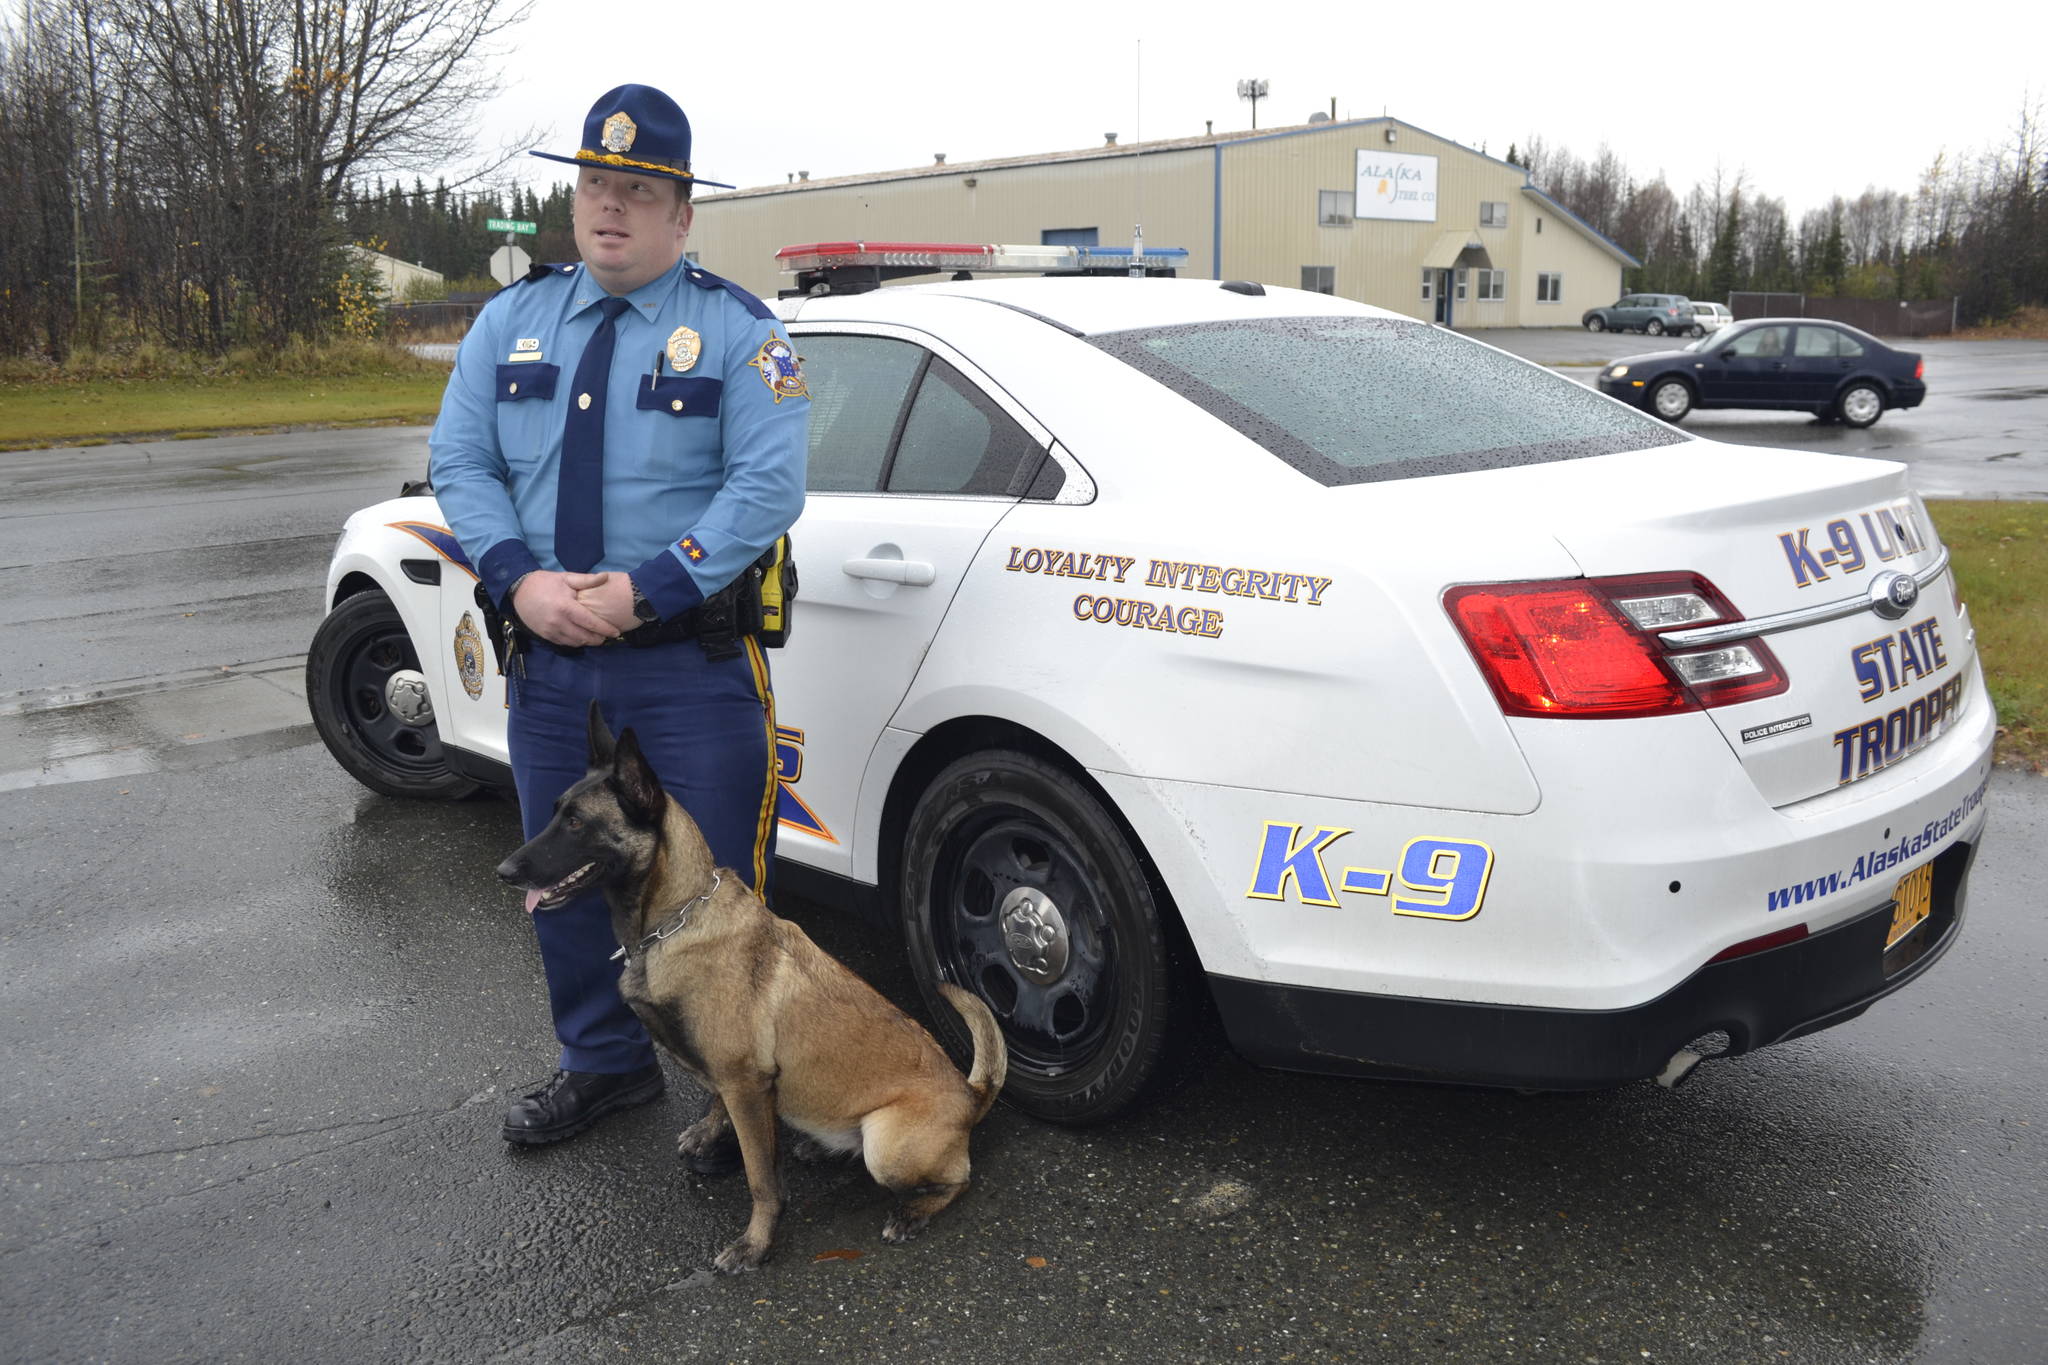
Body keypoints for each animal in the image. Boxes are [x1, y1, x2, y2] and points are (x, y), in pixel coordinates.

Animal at [497, 712, 1007, 1277]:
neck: (675, 921)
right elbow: (718, 1103)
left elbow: (761, 1179)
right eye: (555, 813)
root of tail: (971, 1095)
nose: (505, 871)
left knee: (958, 1181)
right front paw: (709, 1131)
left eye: (576, 823)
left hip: (887, 1146)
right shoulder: (736, 1083)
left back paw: (911, 1213)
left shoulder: (746, 1084)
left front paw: (756, 1244)